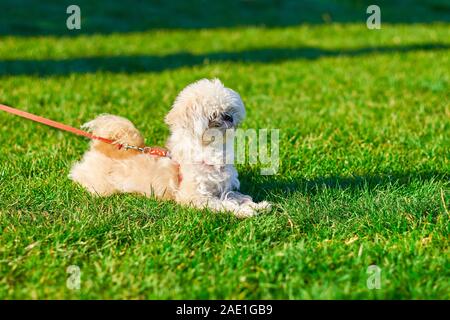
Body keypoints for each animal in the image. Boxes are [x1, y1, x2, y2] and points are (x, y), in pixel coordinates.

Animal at [70, 79, 270, 218]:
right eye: (213, 115)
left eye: (229, 109)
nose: (229, 117)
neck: (210, 151)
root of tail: (99, 147)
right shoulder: (194, 197)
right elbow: (223, 204)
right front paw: (244, 212)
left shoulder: (221, 189)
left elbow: (237, 196)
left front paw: (257, 205)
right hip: (100, 187)